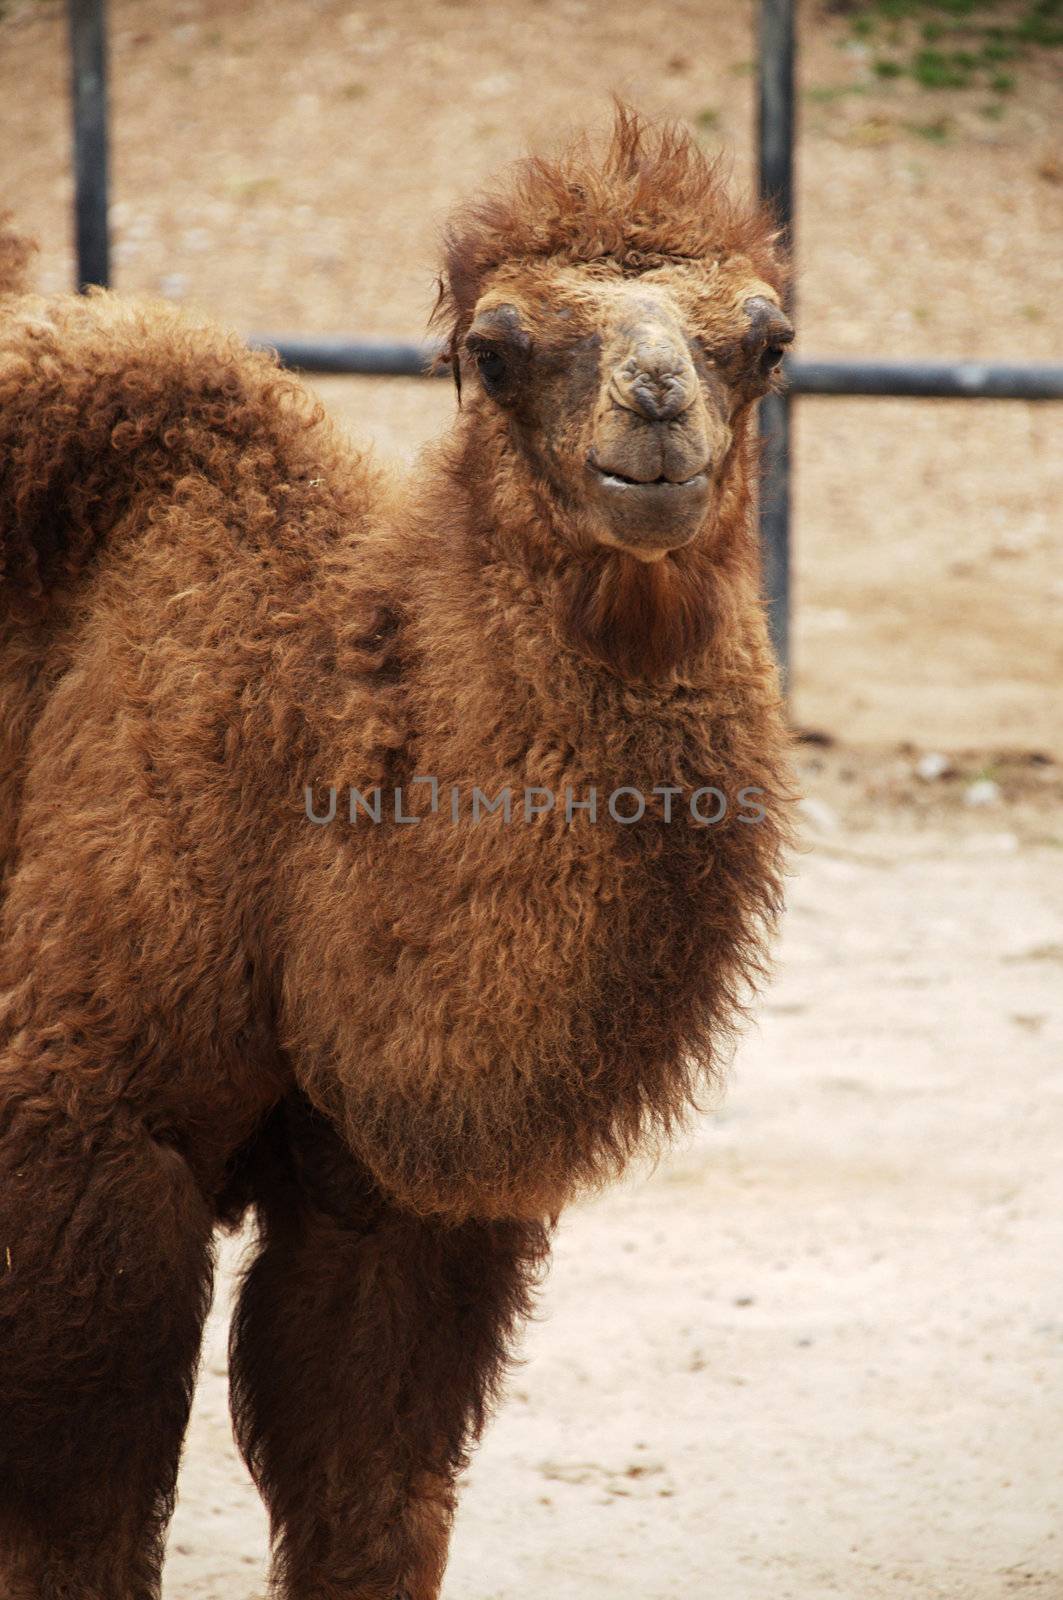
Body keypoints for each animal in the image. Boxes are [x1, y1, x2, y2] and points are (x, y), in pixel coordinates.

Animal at [0, 109, 794, 1587]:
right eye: (496, 346)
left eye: (765, 341)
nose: (657, 407)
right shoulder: (79, 1127)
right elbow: (79, 1518)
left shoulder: (395, 1199)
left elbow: (370, 1490)